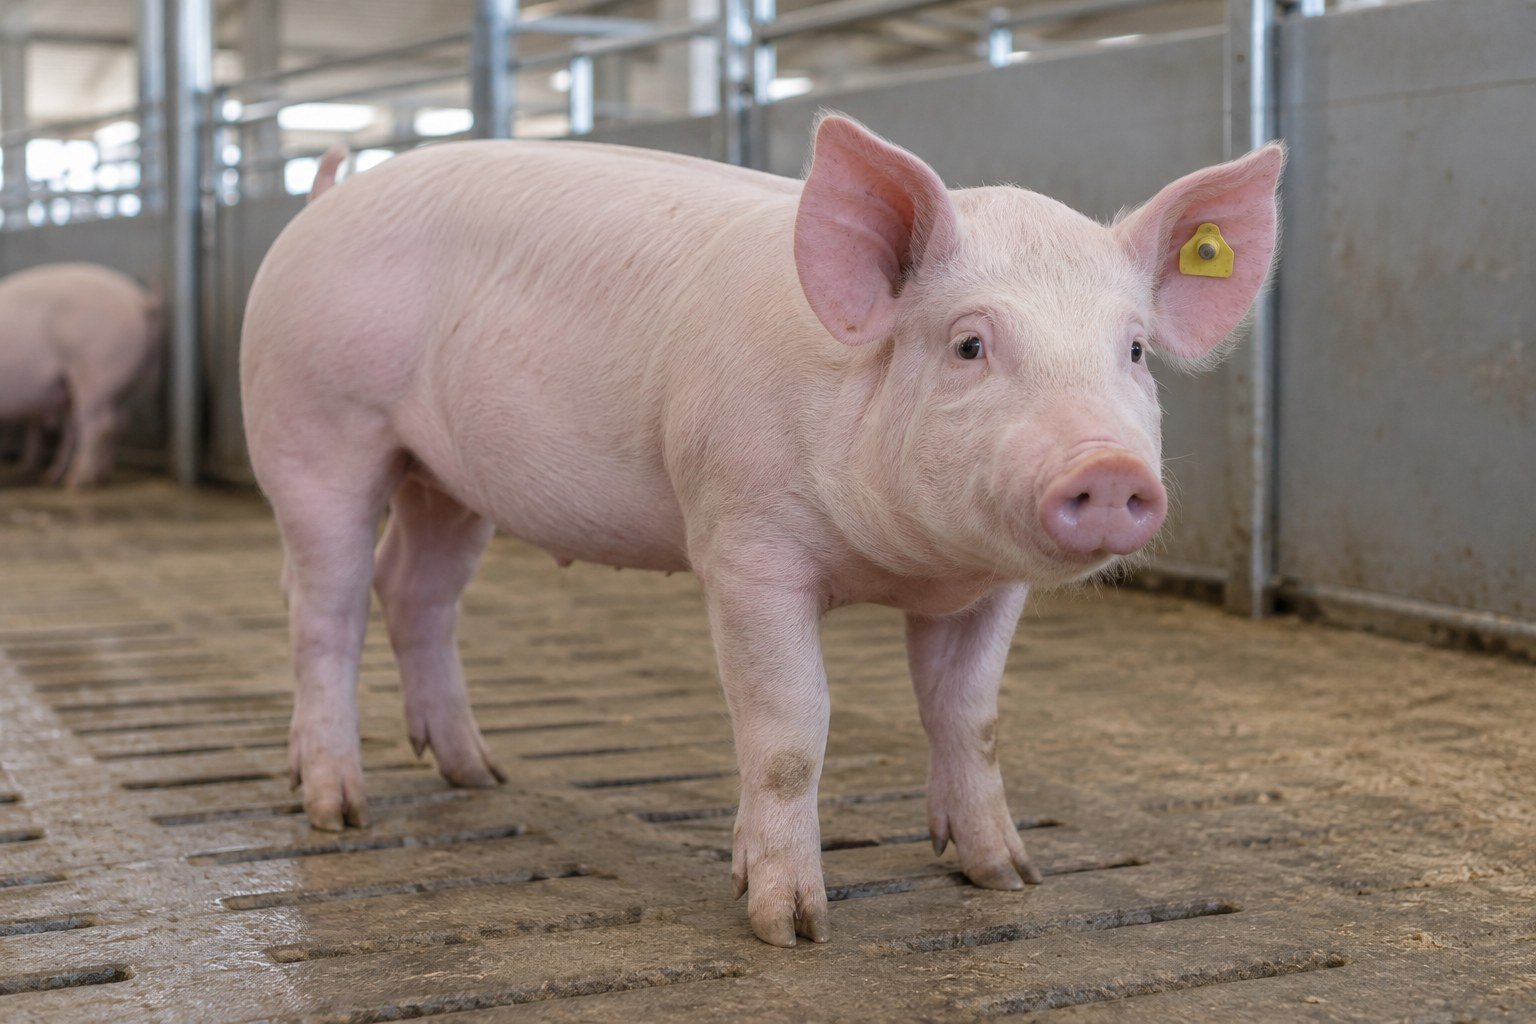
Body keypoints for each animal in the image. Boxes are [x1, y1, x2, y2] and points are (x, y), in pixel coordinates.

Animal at [0, 262, 160, 487]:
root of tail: (140, 300)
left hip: (96, 369)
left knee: (96, 424)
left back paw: (76, 482)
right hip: (116, 384)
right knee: (116, 422)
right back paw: (89, 475)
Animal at [241, 116, 1282, 947]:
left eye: (1135, 350)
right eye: (970, 344)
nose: (1108, 471)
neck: (907, 566)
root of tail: (326, 201)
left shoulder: (990, 587)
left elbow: (971, 717)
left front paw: (1007, 877)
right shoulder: (744, 544)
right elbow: (789, 728)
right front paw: (790, 924)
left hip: (450, 480)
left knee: (415, 588)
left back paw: (478, 775)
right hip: (315, 422)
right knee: (321, 606)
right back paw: (337, 811)